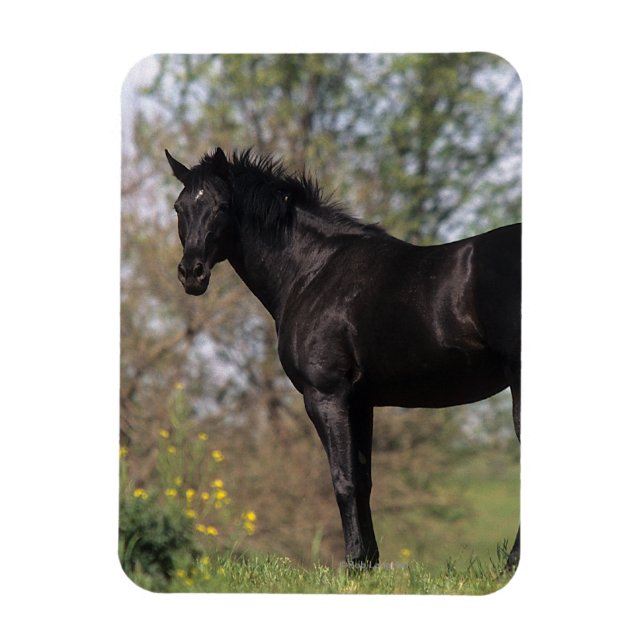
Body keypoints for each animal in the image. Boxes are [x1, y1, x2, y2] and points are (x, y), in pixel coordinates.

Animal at [165, 147, 521, 570]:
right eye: (179, 207)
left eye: (220, 206)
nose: (192, 274)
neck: (314, 271)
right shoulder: (361, 401)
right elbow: (363, 479)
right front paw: (368, 563)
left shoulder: (326, 395)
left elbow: (343, 479)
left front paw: (353, 562)